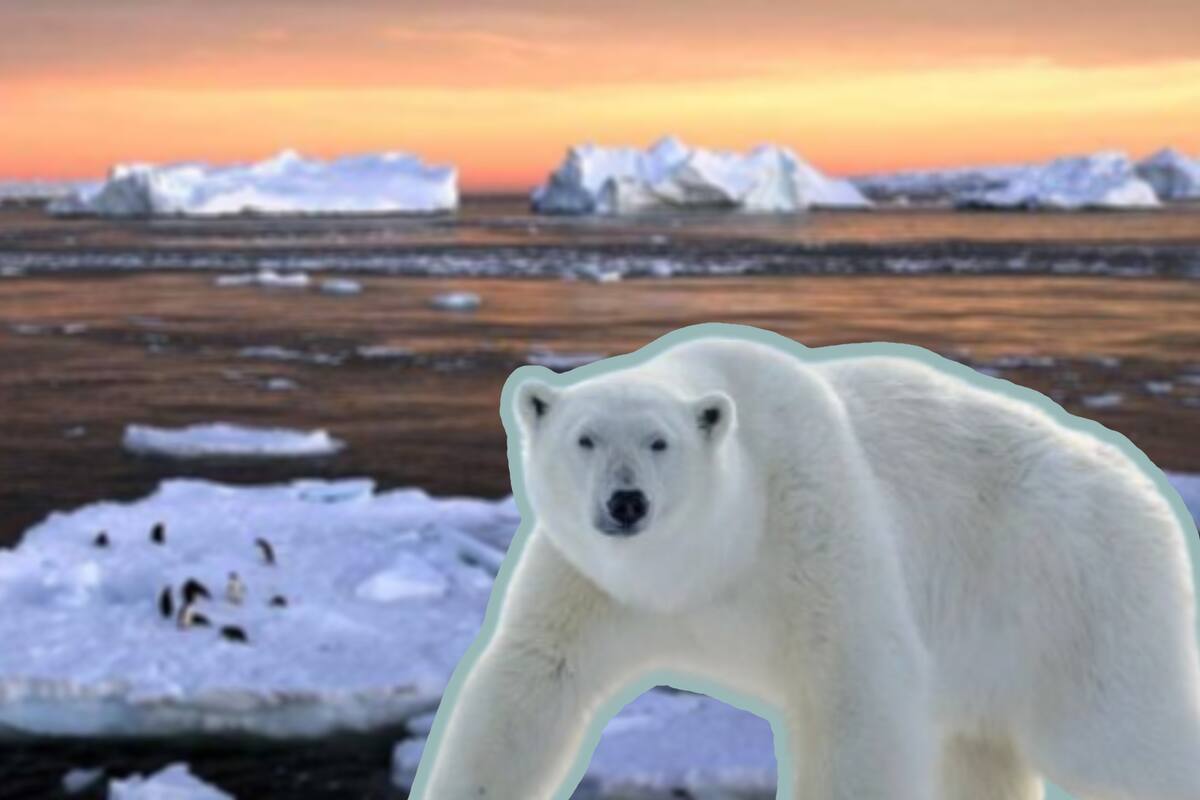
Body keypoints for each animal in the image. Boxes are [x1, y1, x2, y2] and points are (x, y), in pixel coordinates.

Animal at [414, 326, 1200, 800]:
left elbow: (856, 689)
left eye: (660, 442)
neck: (705, 563)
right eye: (585, 438)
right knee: (981, 751)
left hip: (1069, 594)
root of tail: (1146, 488)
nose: (626, 502)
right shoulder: (590, 583)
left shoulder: (811, 525)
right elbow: (530, 685)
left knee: (1116, 736)